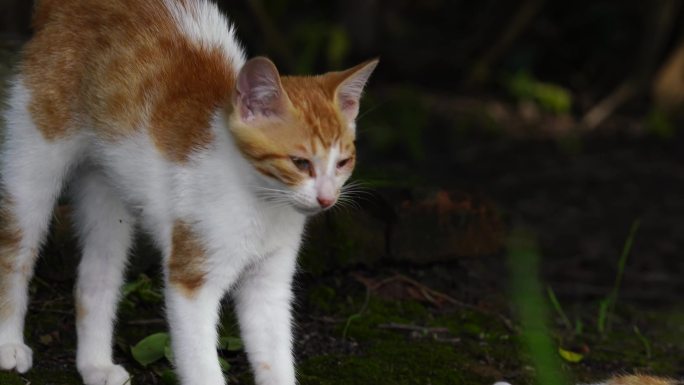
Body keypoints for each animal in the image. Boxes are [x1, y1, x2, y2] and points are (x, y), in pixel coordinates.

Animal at [0, 0, 376, 384]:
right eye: (300, 163)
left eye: (343, 162)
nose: (327, 198)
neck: (261, 204)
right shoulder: (192, 278)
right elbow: (200, 363)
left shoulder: (269, 284)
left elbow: (274, 355)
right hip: (35, 156)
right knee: (16, 250)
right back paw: (9, 345)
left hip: (109, 190)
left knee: (97, 274)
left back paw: (96, 365)